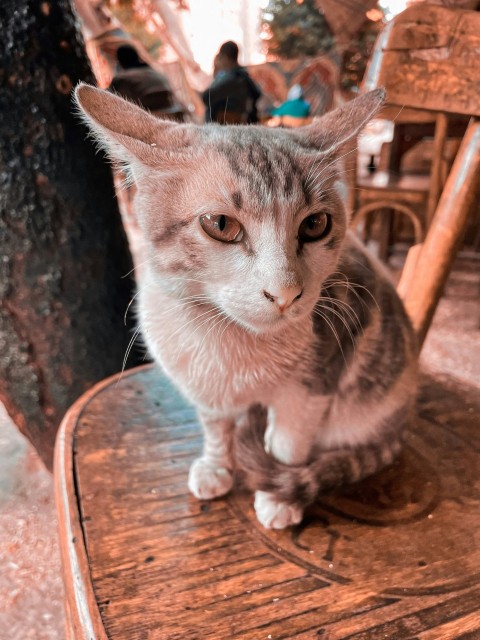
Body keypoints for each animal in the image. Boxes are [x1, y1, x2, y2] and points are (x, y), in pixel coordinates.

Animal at [74, 85, 416, 528]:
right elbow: (215, 427)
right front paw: (217, 466)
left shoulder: (319, 377)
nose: (285, 293)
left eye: (315, 225)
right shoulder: (202, 386)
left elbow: (290, 442)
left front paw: (280, 495)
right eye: (220, 225)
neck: (228, 344)